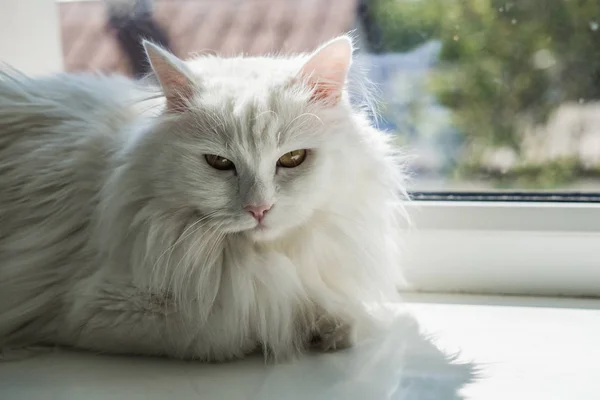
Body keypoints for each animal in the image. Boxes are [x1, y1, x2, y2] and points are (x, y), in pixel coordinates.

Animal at [0, 36, 408, 362]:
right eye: (219, 163)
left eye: (292, 158)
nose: (259, 209)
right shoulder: (97, 308)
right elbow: (252, 321)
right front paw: (305, 327)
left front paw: (332, 326)